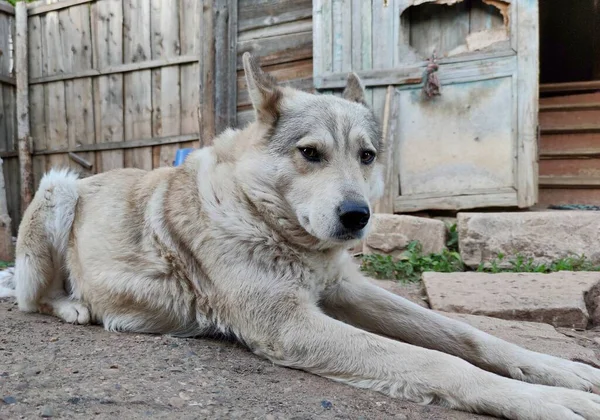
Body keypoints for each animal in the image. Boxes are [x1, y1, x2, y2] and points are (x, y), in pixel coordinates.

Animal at [3, 53, 600, 420]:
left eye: (367, 156)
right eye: (310, 153)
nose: (358, 216)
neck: (263, 217)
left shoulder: (346, 289)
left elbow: (468, 336)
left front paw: (562, 371)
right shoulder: (290, 326)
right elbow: (439, 361)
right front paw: (539, 399)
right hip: (58, 188)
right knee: (31, 297)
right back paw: (75, 305)